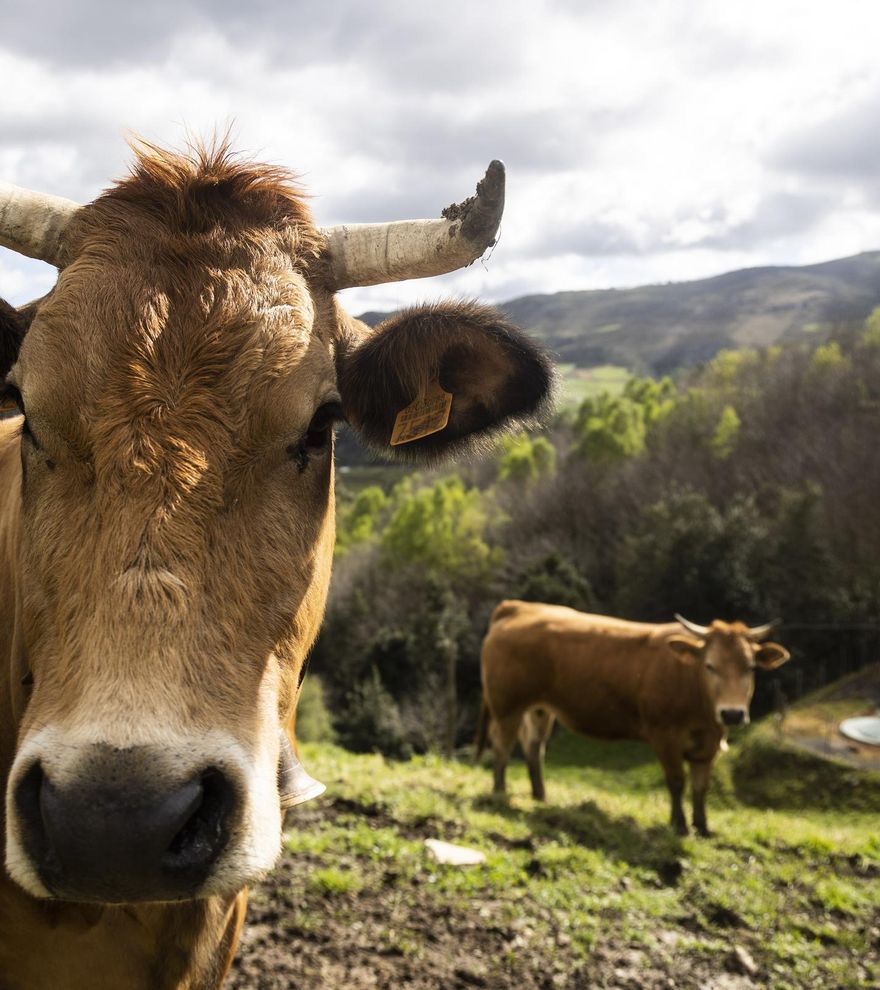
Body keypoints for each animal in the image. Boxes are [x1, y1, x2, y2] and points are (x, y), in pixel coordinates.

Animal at [478, 604, 796, 836]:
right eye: (710, 665)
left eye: (750, 667)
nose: (731, 712)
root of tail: (519, 607)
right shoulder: (665, 735)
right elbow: (677, 781)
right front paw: (679, 825)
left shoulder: (709, 745)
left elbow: (700, 786)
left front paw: (703, 827)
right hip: (507, 705)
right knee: (502, 745)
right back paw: (499, 792)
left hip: (540, 709)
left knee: (534, 747)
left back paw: (540, 796)